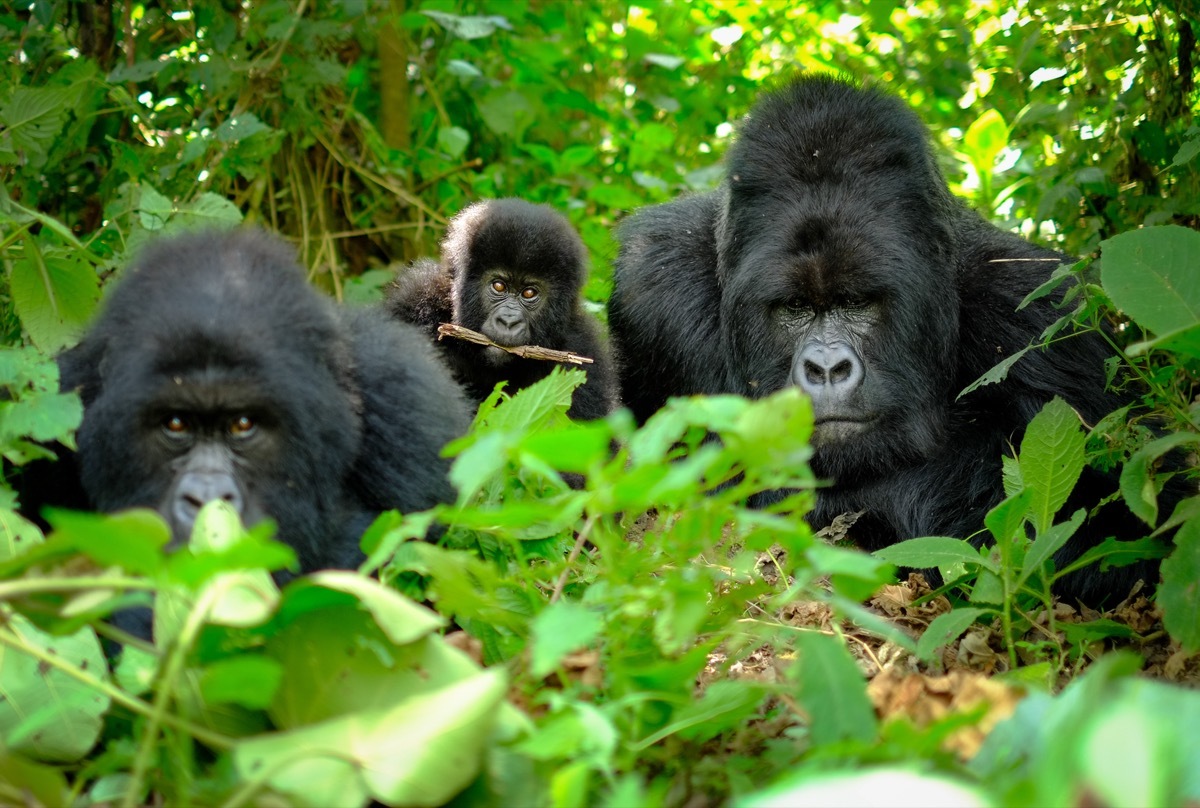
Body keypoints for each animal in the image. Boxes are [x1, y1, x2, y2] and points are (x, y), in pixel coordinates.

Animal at [614, 75, 1147, 602]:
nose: (826, 369)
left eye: (856, 302)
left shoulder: (1044, 315)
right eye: (795, 308)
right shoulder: (653, 286)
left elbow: (1102, 524)